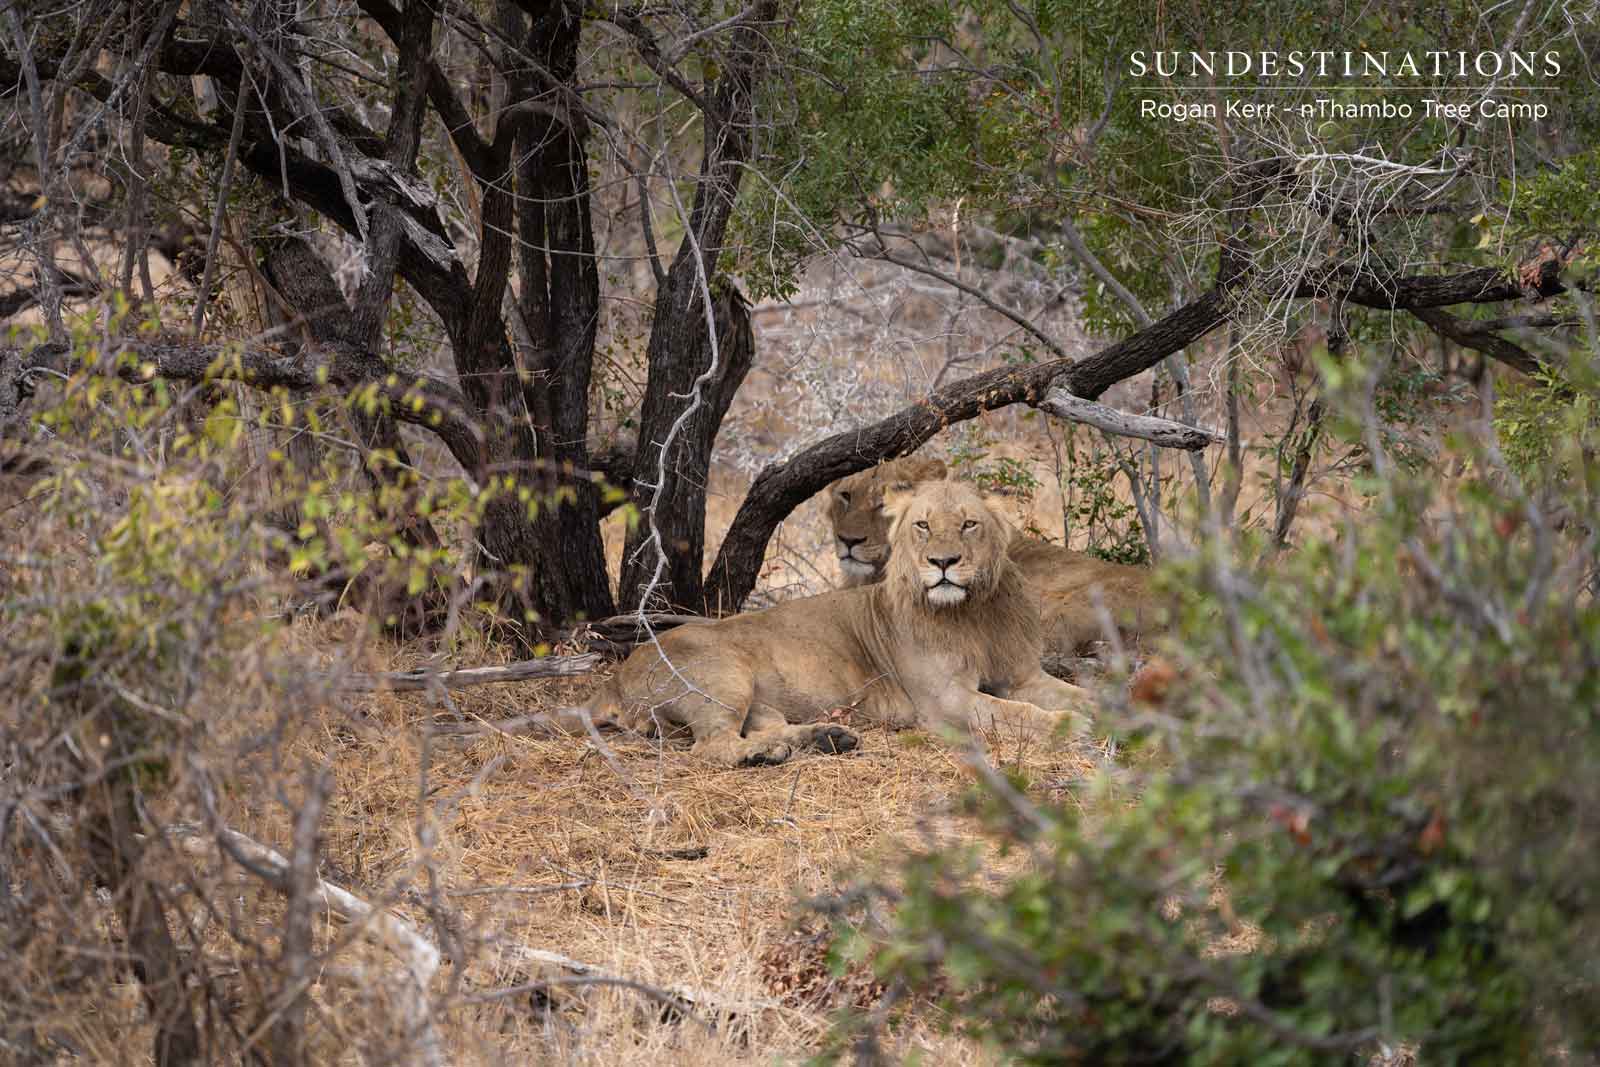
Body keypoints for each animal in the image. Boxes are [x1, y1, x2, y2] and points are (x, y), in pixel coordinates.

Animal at [568, 481, 1093, 767]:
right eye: (922, 525)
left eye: (968, 524)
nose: (942, 562)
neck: (973, 611)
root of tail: (617, 673)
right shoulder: (945, 701)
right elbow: (1019, 714)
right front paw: (1072, 726)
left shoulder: (1023, 675)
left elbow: (1077, 694)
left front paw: (1100, 709)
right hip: (723, 678)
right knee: (712, 746)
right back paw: (765, 755)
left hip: (759, 700)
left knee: (763, 728)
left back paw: (825, 738)